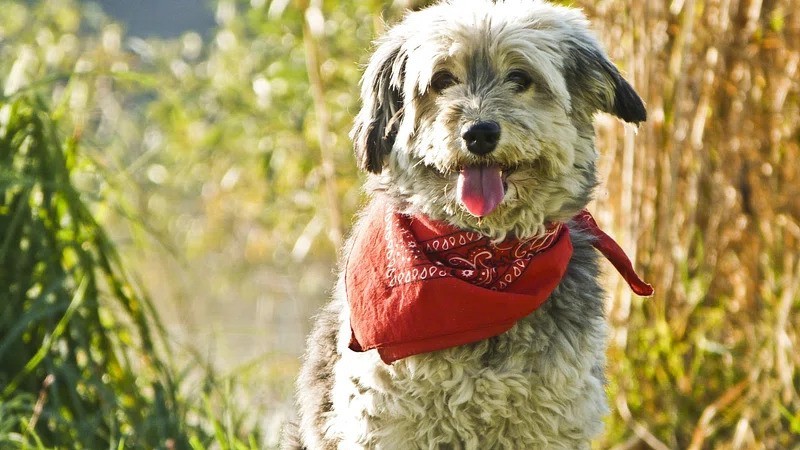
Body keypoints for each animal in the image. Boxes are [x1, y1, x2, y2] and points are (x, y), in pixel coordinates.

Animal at [284, 1, 648, 448]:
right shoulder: (387, 418)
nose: (480, 133)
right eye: (443, 79)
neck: (483, 260)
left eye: (520, 78)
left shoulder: (552, 421)